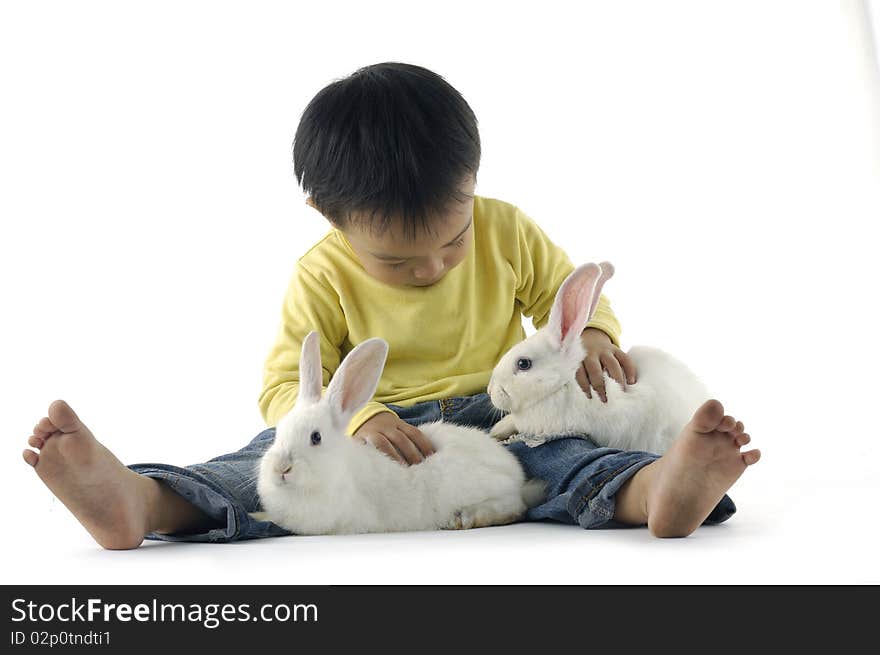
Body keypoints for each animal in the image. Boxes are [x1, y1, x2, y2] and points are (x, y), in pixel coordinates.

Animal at [254, 330, 544, 536]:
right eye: (278, 432)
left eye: (316, 437)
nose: (280, 469)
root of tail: (517, 477)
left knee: (515, 508)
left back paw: (465, 518)